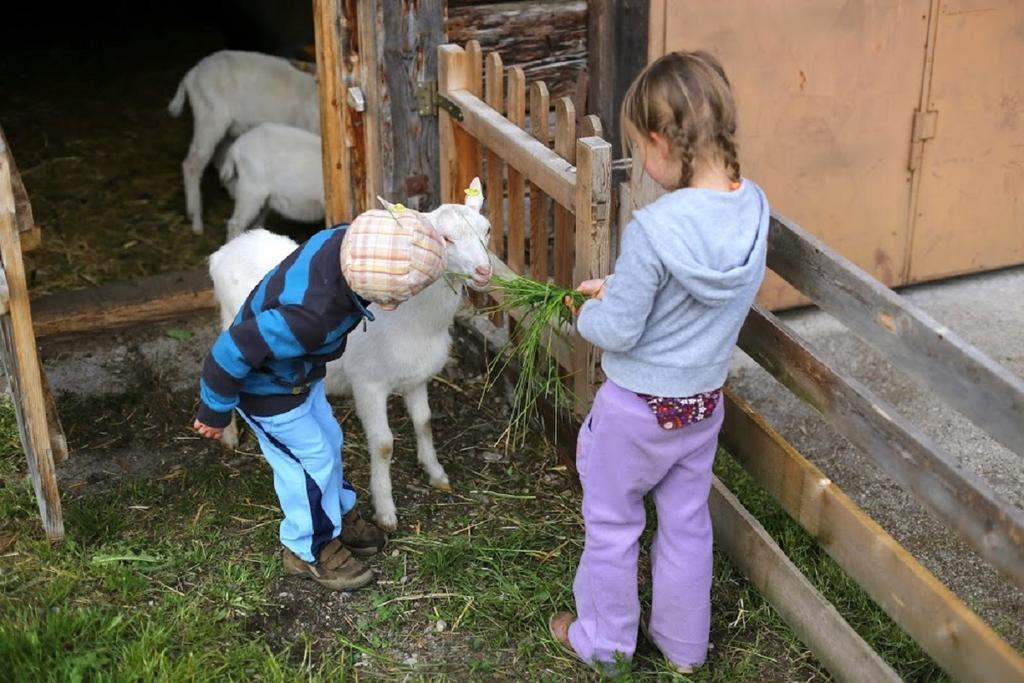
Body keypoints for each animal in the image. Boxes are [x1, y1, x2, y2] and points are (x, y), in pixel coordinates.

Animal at [167, 49, 319, 236]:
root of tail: (192, 73)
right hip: (210, 116)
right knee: (192, 164)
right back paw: (196, 221)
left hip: (224, 126)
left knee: (220, 156)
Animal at [211, 180, 491, 528]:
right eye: (446, 238)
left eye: (487, 230)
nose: (484, 271)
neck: (416, 323)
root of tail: (224, 252)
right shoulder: (368, 383)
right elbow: (383, 444)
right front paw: (385, 510)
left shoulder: (416, 377)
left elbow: (424, 422)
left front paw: (436, 473)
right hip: (227, 320)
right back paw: (228, 434)